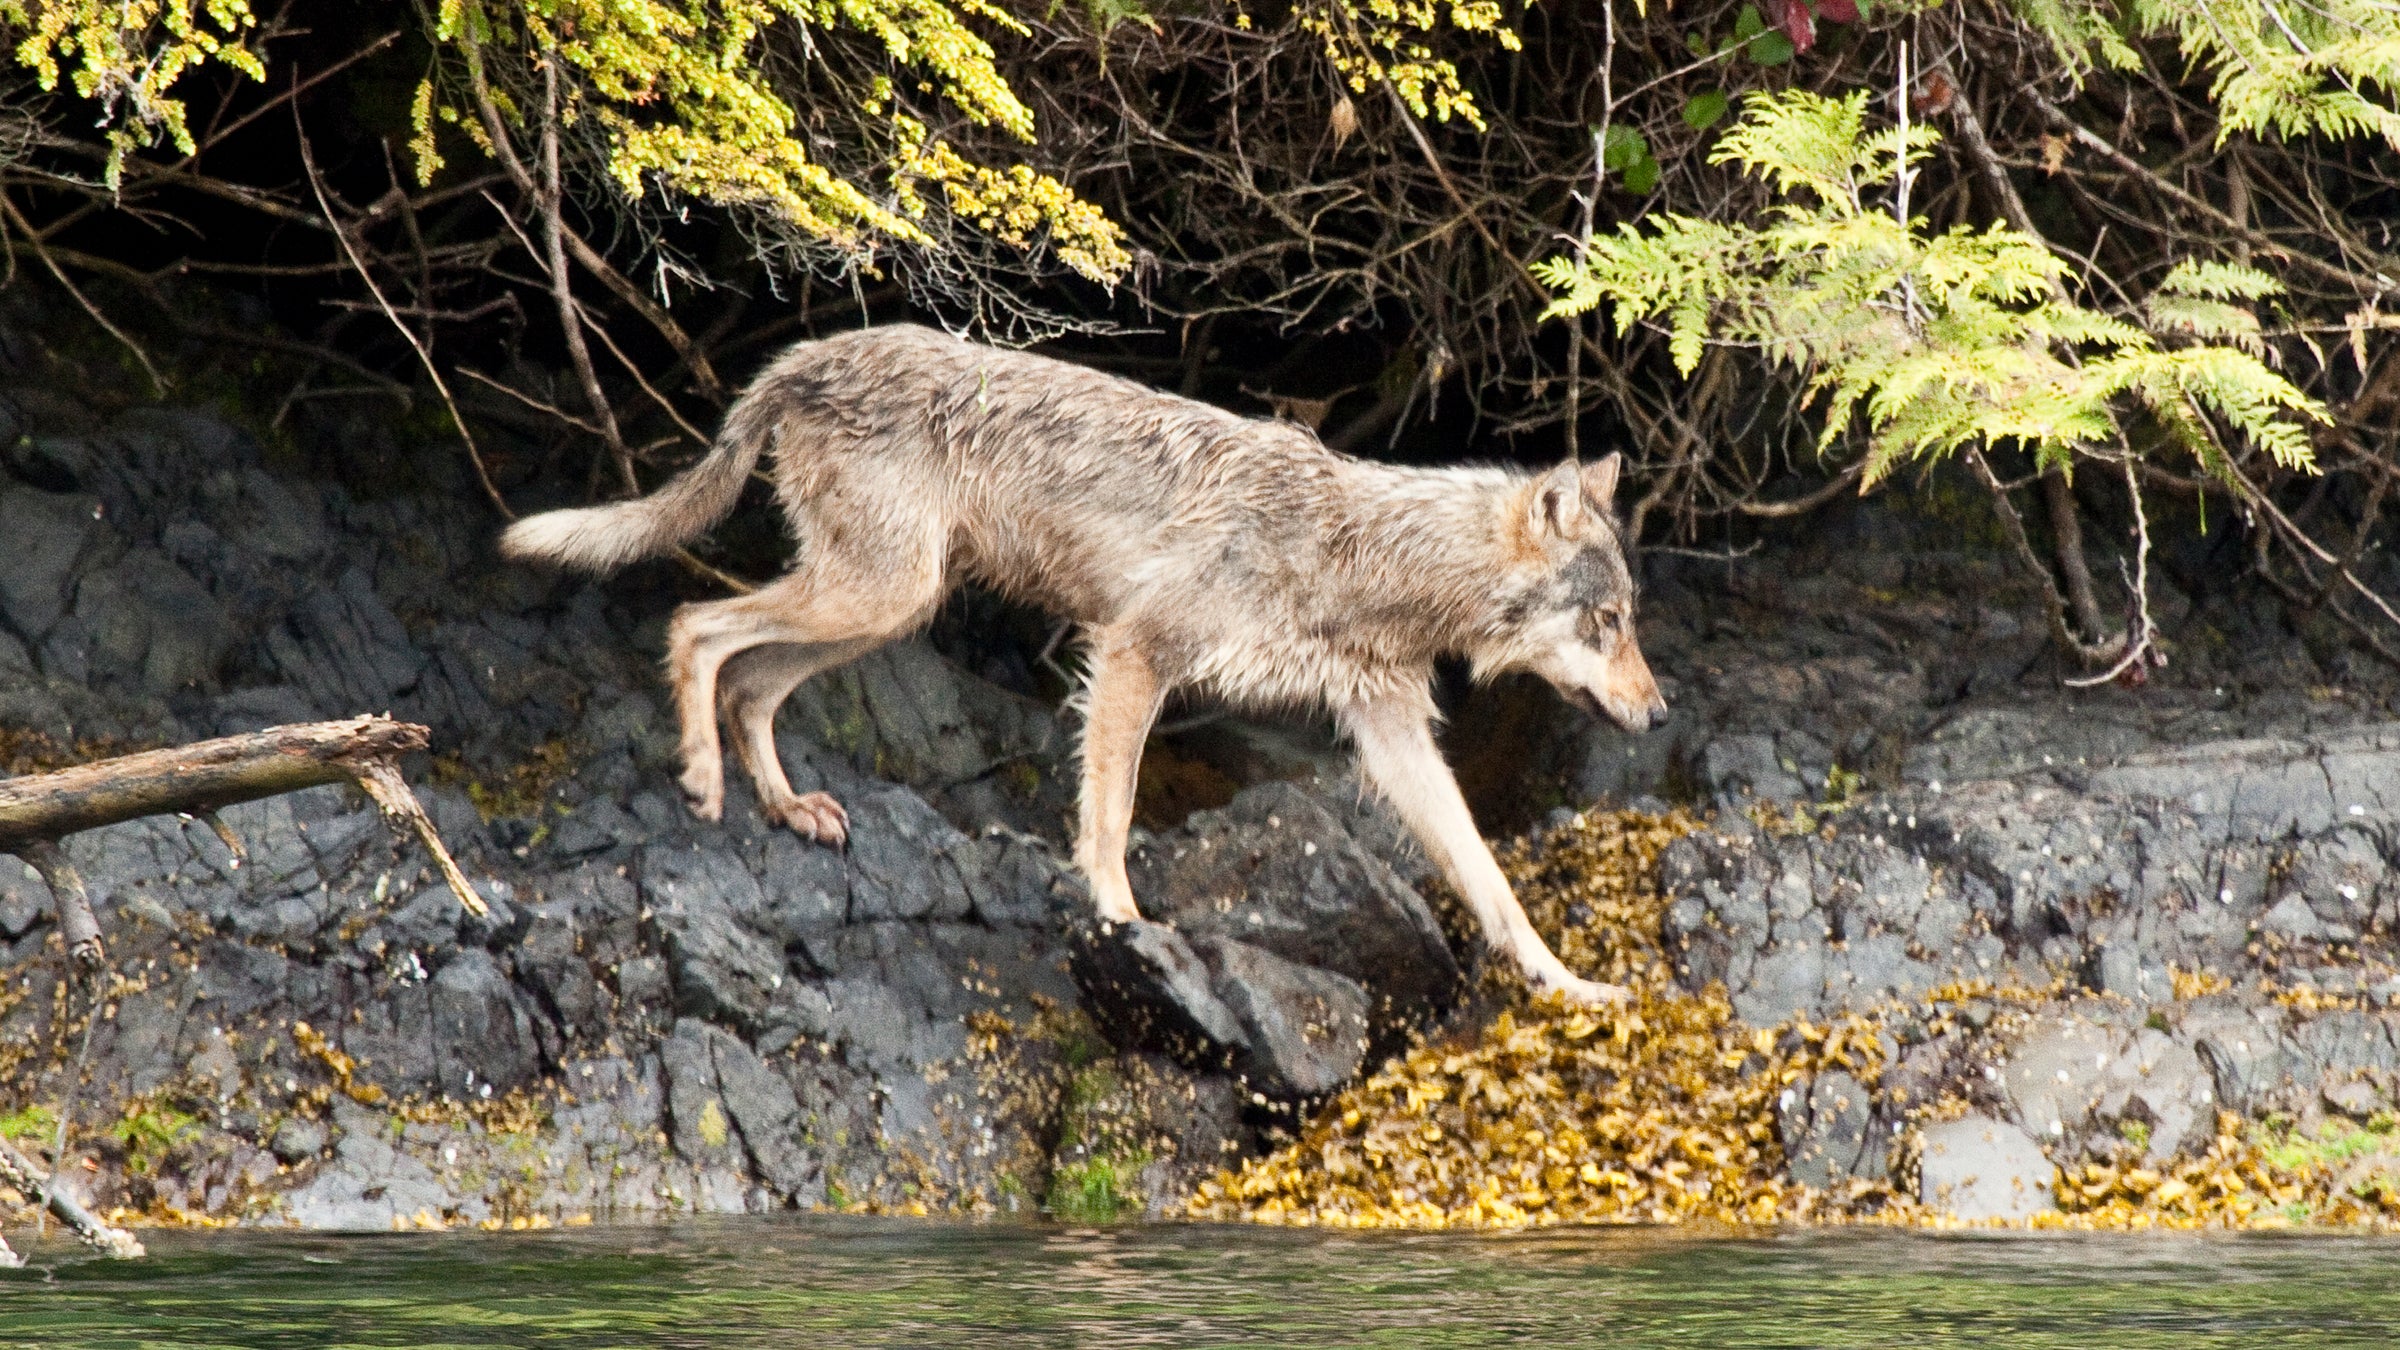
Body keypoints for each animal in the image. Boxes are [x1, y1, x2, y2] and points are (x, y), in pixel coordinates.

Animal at [499, 325, 1668, 1007]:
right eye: (1607, 621)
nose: (1659, 718)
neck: (1360, 555)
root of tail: (811, 353)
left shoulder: (1389, 733)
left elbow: (1490, 882)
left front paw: (1572, 986)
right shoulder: (1133, 653)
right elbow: (1109, 814)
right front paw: (1122, 921)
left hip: (888, 605)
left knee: (750, 678)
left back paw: (788, 809)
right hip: (877, 595)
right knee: (697, 625)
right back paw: (702, 779)